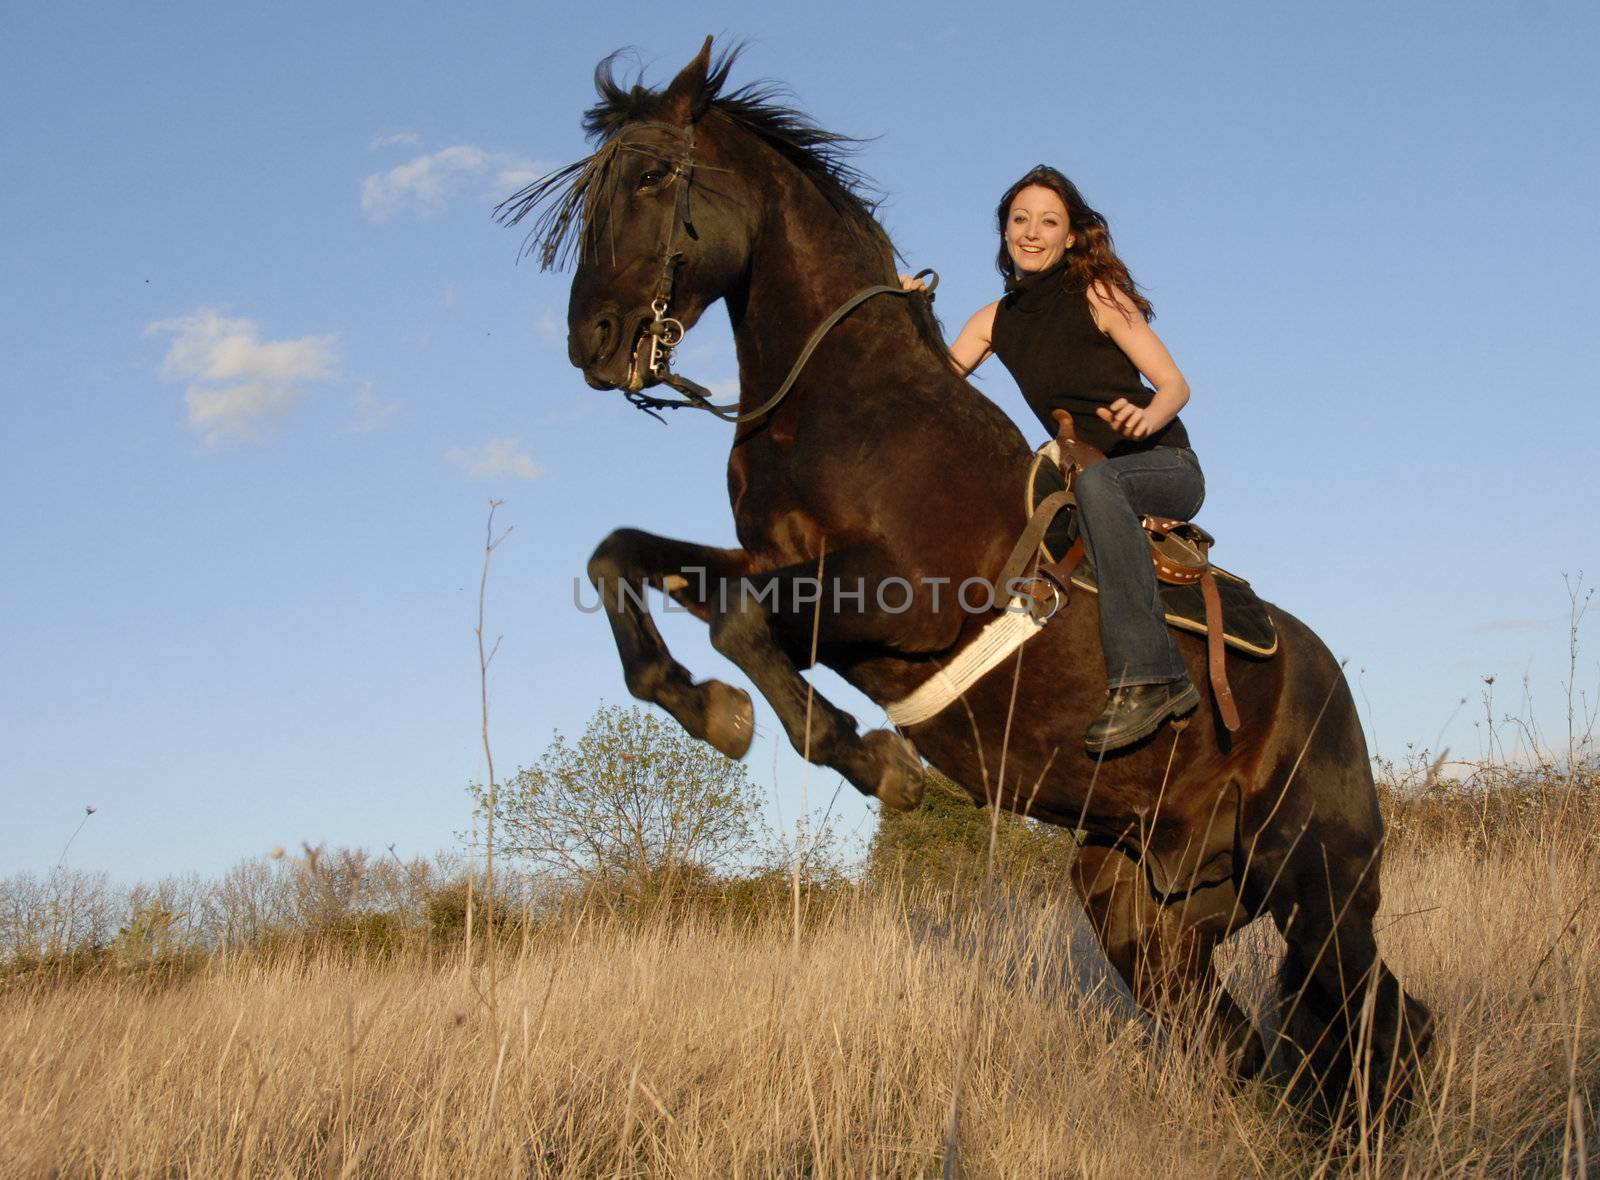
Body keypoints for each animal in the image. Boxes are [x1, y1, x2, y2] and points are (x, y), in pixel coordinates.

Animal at [505, 41, 1433, 1125]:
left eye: (653, 176)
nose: (594, 342)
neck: (844, 398)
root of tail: (1327, 683)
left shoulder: (902, 598)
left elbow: (735, 623)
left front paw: (868, 760)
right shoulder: (781, 568)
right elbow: (625, 560)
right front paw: (714, 710)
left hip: (1319, 881)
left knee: (1373, 1022)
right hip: (1149, 906)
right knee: (1258, 1041)